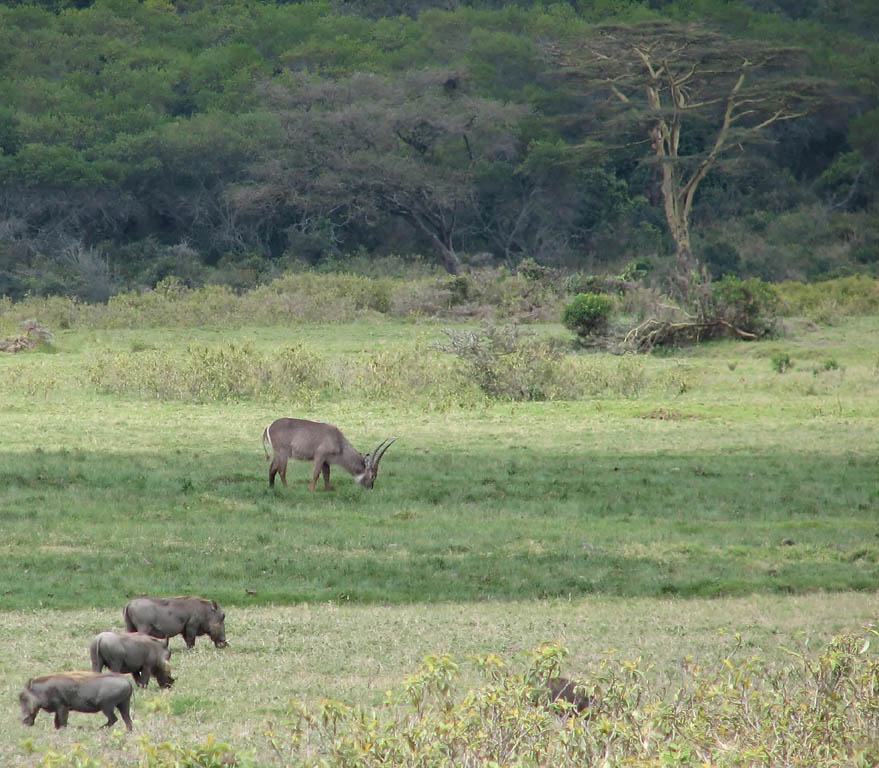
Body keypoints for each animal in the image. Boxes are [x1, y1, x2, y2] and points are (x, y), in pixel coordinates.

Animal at [262, 420, 398, 492]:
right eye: (373, 475)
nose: (370, 488)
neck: (338, 440)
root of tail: (269, 425)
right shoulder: (320, 456)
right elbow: (316, 474)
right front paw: (311, 489)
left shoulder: (326, 461)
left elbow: (327, 475)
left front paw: (327, 490)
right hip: (283, 453)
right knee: (281, 470)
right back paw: (287, 488)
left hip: (278, 454)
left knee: (272, 469)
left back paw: (271, 487)